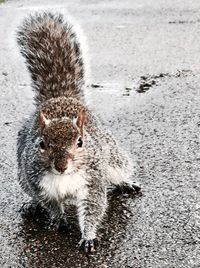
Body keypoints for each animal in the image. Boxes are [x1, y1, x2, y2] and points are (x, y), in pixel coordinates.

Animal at [16, 11, 141, 252]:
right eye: (42, 144)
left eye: (80, 142)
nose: (61, 165)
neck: (64, 177)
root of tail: (61, 97)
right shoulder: (38, 183)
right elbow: (50, 204)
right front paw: (57, 219)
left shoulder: (92, 182)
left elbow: (93, 207)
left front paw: (89, 236)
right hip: (22, 175)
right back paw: (32, 205)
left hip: (111, 156)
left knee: (118, 169)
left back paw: (125, 183)